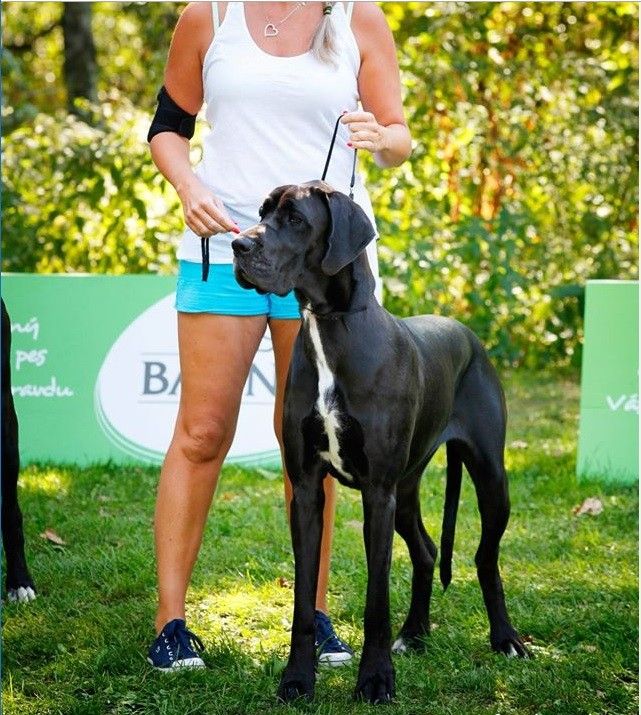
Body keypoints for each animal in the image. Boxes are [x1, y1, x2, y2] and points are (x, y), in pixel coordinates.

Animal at [232, 181, 528, 704]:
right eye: (262, 212)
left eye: (295, 219)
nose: (238, 246)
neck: (330, 326)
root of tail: (467, 332)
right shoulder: (306, 489)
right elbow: (303, 598)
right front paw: (297, 678)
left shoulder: (376, 492)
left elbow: (376, 596)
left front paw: (375, 678)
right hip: (405, 492)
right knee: (427, 551)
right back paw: (414, 634)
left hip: (488, 477)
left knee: (485, 557)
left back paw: (505, 638)